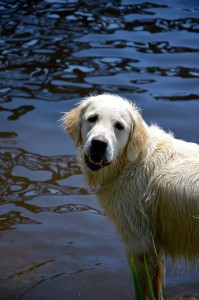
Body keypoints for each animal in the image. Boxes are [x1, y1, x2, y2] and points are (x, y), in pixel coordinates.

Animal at [62, 93, 199, 298]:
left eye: (119, 126)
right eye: (92, 118)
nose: (99, 143)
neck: (129, 162)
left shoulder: (139, 244)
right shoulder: (153, 249)